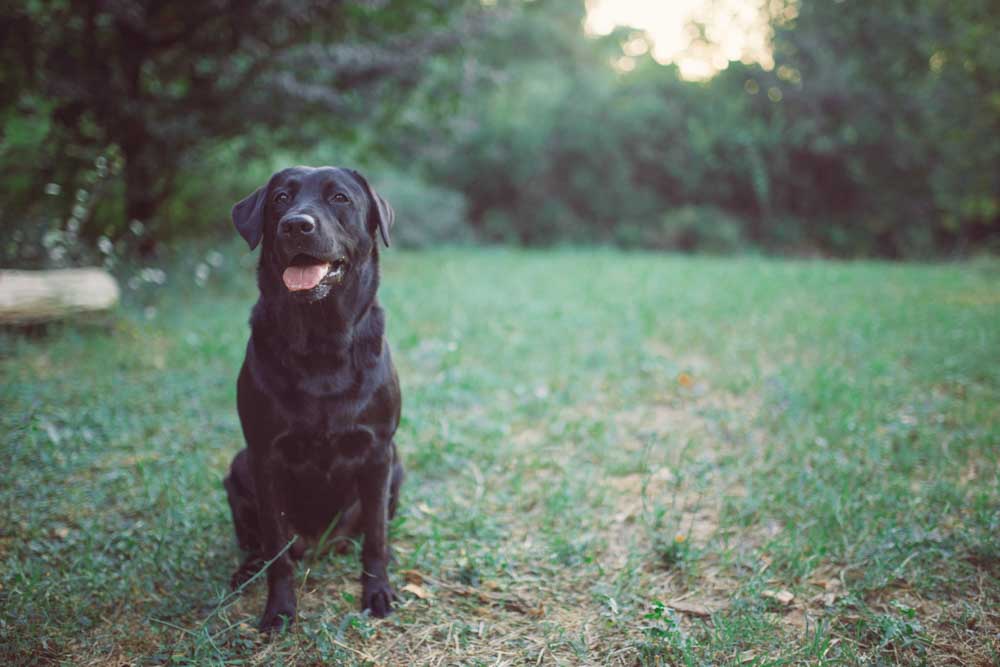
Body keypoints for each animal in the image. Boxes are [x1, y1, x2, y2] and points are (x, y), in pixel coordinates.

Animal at [223, 166, 402, 632]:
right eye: (280, 199)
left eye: (340, 198)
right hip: (238, 468)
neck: (322, 343)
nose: (296, 225)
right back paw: (247, 569)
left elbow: (376, 536)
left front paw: (377, 591)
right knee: (261, 543)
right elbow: (277, 548)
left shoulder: (379, 451)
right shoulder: (264, 456)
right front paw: (279, 609)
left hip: (397, 466)